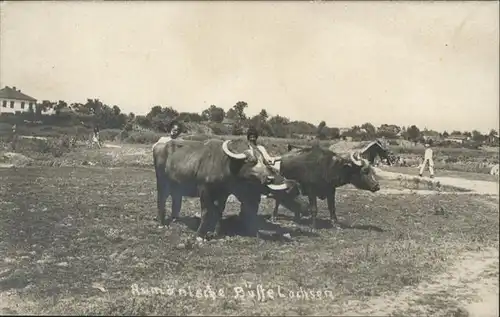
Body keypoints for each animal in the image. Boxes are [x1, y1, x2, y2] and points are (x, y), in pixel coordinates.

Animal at [151, 138, 292, 237]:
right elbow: (206, 212)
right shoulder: (204, 190)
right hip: (162, 181)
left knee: (175, 199)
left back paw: (175, 219)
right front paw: (200, 233)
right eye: (252, 161)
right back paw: (161, 222)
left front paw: (215, 232)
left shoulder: (224, 194)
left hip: (176, 185)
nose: (270, 178)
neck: (224, 165)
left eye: (264, 161)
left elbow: (219, 211)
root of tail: (160, 145)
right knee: (161, 199)